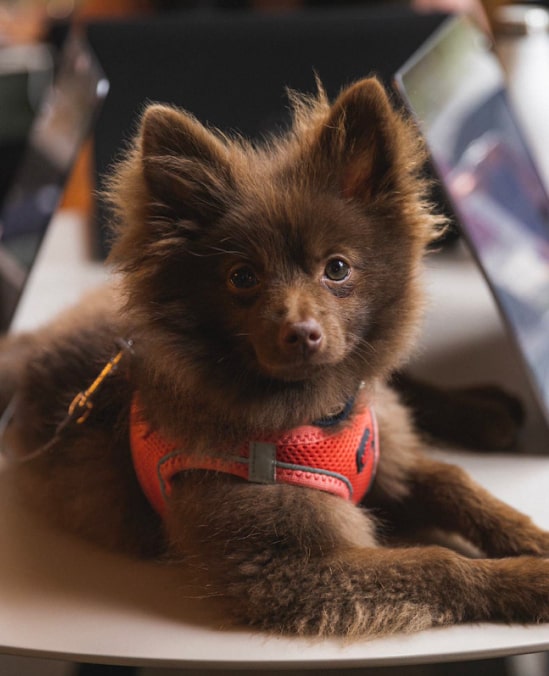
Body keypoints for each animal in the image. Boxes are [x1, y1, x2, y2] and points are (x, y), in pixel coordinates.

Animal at [1, 79, 548, 640]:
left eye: (337, 268)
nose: (301, 333)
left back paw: (484, 409)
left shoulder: (385, 456)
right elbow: (435, 563)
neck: (321, 417)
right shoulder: (286, 563)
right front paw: (532, 577)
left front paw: (530, 537)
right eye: (242, 277)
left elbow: (454, 481)